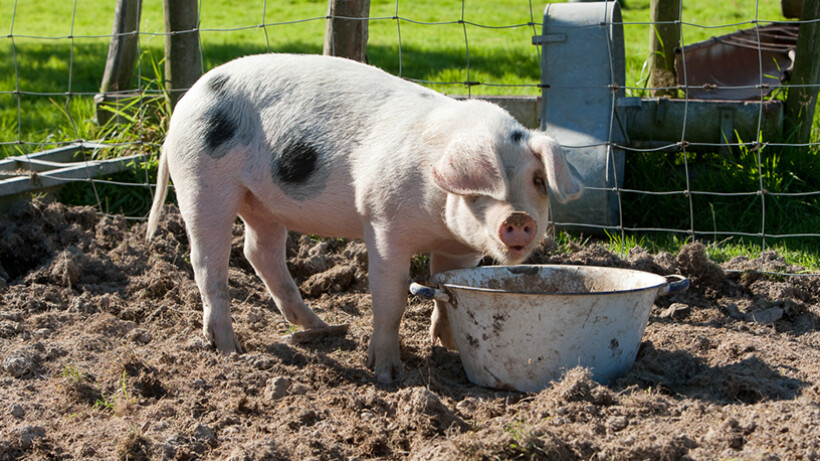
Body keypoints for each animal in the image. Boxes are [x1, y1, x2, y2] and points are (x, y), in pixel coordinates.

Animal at [147, 52, 584, 382]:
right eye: (482, 189)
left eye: (538, 180)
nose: (519, 218)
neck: (434, 217)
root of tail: (185, 103)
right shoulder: (383, 223)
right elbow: (391, 299)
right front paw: (388, 374)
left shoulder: (460, 249)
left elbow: (446, 288)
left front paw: (447, 345)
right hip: (202, 181)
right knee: (208, 262)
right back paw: (229, 350)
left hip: (263, 205)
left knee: (259, 253)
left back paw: (320, 328)